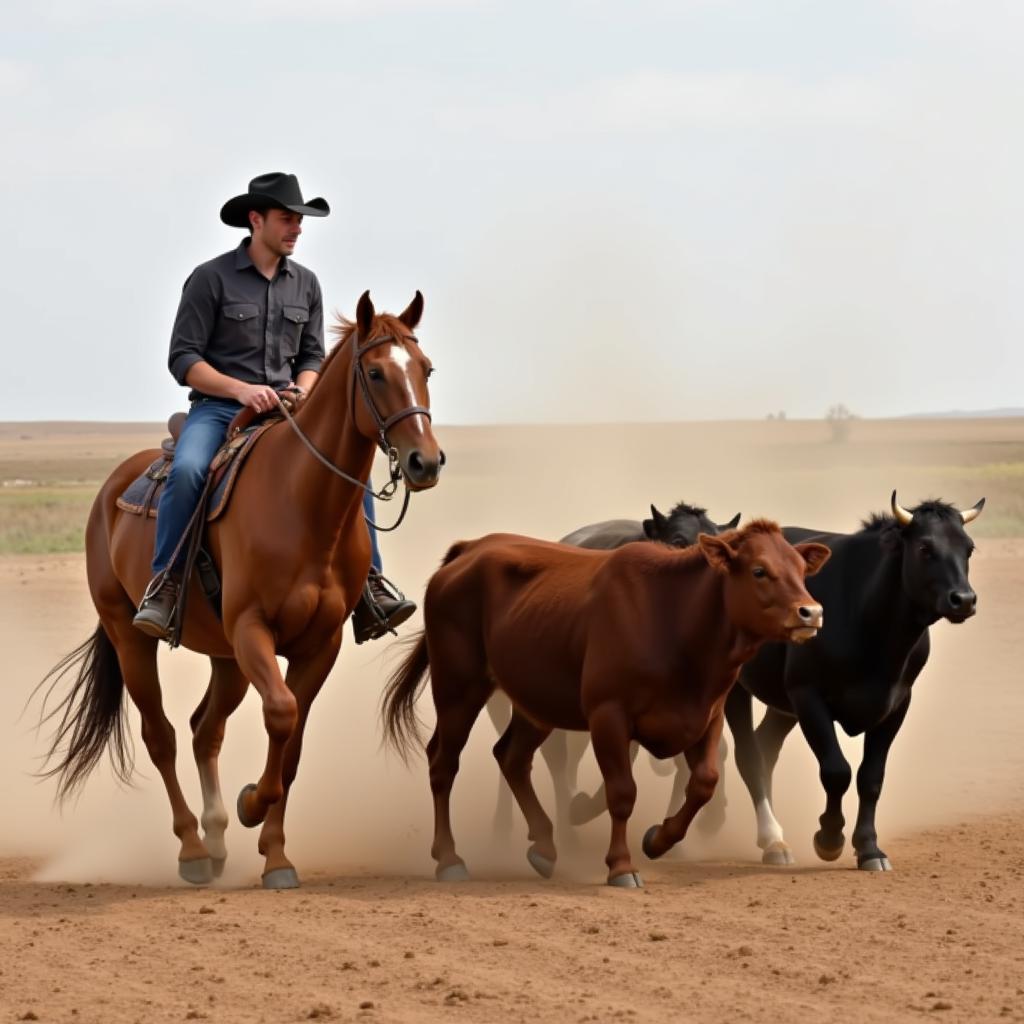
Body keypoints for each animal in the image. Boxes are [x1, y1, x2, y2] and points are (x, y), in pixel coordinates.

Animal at [37, 290, 444, 888]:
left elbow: (292, 742)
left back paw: (216, 837)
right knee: (160, 735)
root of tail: (111, 490)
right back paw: (192, 849)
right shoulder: (253, 629)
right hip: (130, 637)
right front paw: (252, 803)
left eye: (425, 369)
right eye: (375, 372)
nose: (425, 461)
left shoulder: (319, 644)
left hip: (225, 657)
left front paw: (275, 854)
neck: (303, 505)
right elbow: (280, 712)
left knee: (204, 729)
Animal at [380, 524, 827, 884]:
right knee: (443, 763)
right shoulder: (608, 716)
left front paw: (657, 839)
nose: (811, 612)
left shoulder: (706, 717)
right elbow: (621, 792)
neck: (673, 618)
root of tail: (469, 549)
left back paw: (545, 847)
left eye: (800, 570)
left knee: (511, 757)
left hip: (535, 703)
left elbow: (703, 782)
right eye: (759, 570)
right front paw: (621, 867)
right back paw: (450, 860)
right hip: (459, 686)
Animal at [729, 491, 983, 868]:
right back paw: (771, 840)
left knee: (765, 746)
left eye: (968, 548)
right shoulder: (807, 695)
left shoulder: (896, 704)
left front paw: (869, 847)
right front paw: (829, 838)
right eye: (925, 547)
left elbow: (871, 778)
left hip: (782, 705)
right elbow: (837, 771)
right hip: (734, 688)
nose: (963, 600)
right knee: (748, 753)